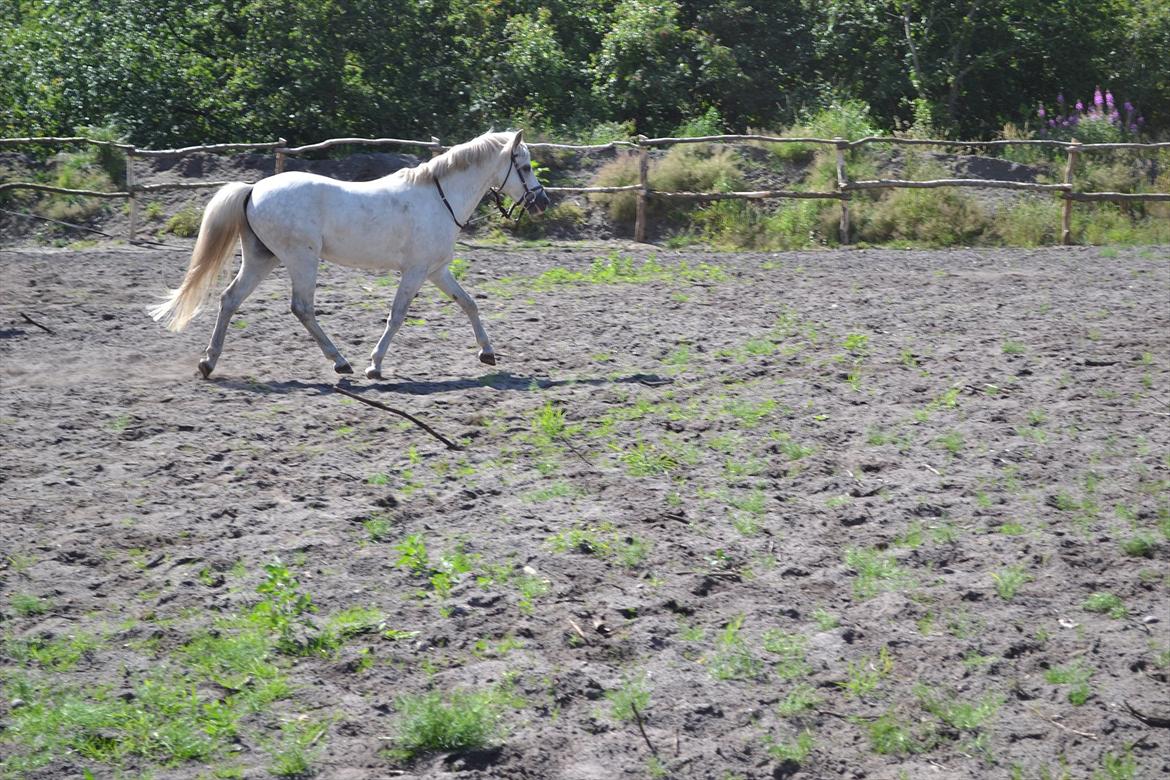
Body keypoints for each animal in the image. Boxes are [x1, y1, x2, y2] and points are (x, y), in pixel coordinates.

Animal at [150, 129, 549, 379]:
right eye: (525, 166)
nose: (542, 202)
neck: (440, 198)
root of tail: (253, 189)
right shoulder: (415, 271)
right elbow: (397, 316)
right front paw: (375, 365)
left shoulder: (437, 271)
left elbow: (469, 304)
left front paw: (487, 353)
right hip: (301, 260)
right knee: (302, 308)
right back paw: (341, 362)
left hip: (262, 259)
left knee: (230, 299)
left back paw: (208, 363)